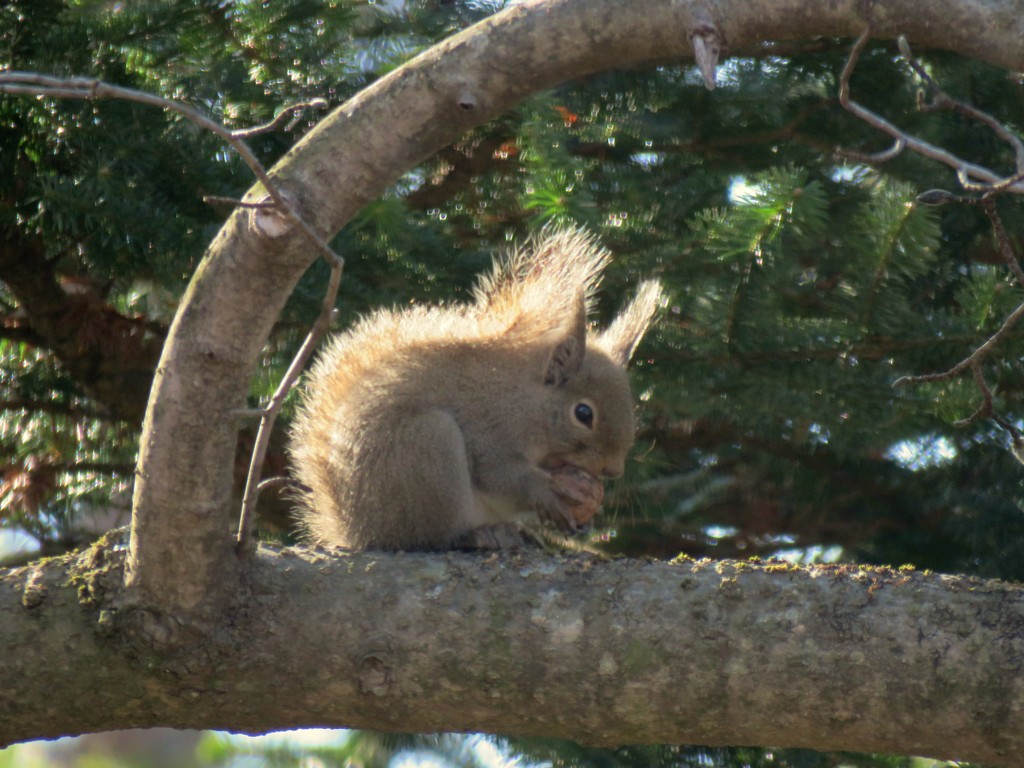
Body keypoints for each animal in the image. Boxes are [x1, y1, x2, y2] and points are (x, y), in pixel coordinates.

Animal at [286, 228, 663, 552]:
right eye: (583, 413)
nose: (613, 470)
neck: (525, 403)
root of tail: (360, 533)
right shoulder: (489, 428)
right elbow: (502, 476)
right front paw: (548, 492)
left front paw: (584, 515)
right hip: (429, 449)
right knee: (431, 537)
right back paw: (479, 536)